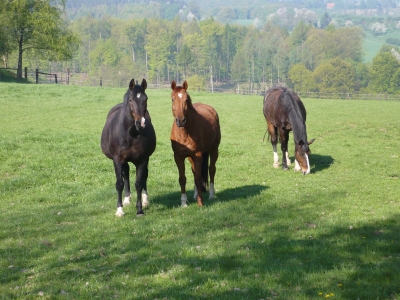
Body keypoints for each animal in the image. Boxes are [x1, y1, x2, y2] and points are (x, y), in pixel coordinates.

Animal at [100, 78, 156, 216]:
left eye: (146, 98)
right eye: (131, 100)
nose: (141, 123)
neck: (130, 134)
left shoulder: (142, 159)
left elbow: (139, 183)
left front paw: (140, 209)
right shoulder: (117, 159)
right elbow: (119, 183)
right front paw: (119, 210)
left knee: (144, 176)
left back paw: (145, 200)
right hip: (123, 161)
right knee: (125, 175)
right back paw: (126, 199)